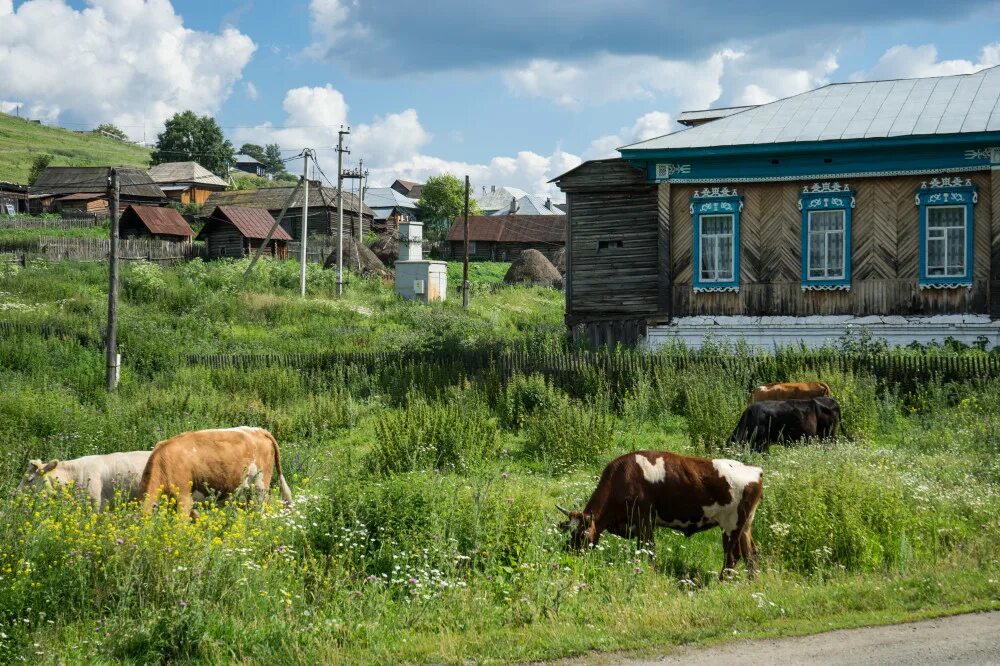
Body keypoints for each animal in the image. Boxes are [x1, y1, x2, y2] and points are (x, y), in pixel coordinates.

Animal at [560, 452, 760, 576]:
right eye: (570, 532)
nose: (570, 554)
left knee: (732, 557)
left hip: (731, 526)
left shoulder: (645, 520)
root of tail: (755, 470)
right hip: (745, 525)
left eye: (583, 535)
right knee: (751, 554)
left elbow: (647, 549)